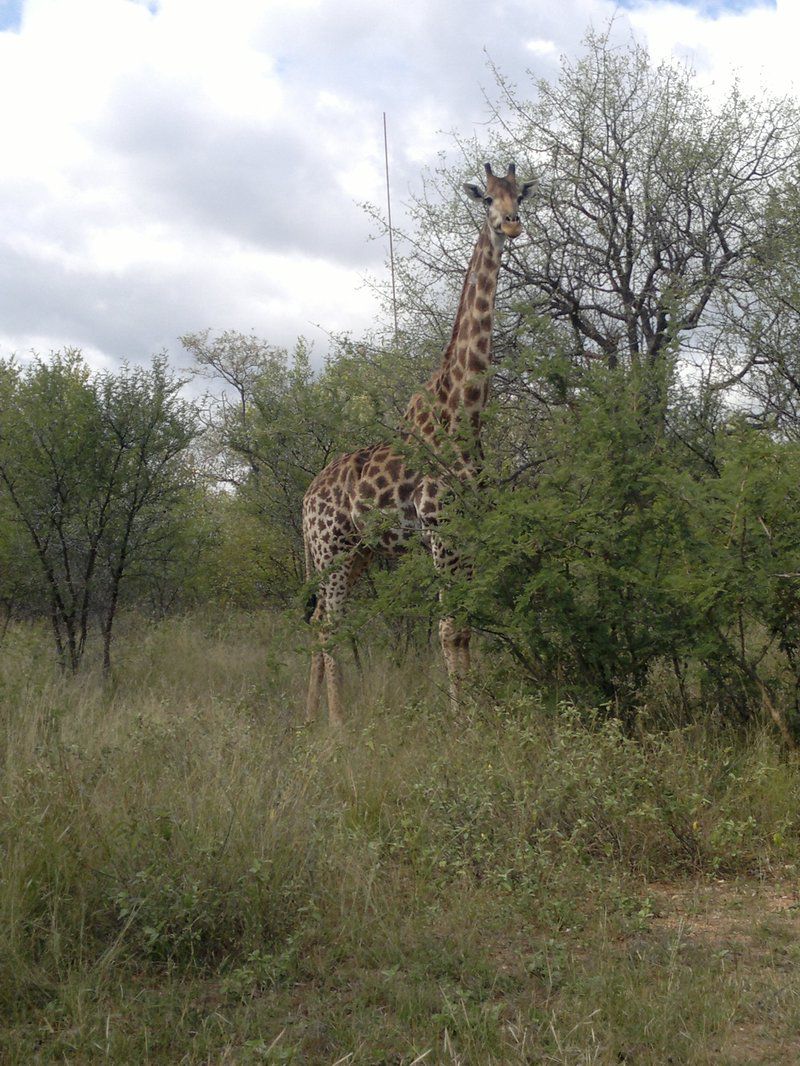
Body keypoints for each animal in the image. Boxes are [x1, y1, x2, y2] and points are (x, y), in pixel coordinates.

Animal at [302, 162, 533, 724]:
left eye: (520, 194)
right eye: (486, 198)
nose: (512, 224)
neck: (466, 412)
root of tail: (305, 498)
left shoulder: (466, 531)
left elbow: (465, 628)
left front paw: (476, 715)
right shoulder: (439, 530)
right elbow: (450, 630)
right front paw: (461, 723)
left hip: (353, 554)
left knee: (318, 623)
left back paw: (309, 719)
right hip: (331, 550)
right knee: (329, 625)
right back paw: (337, 725)